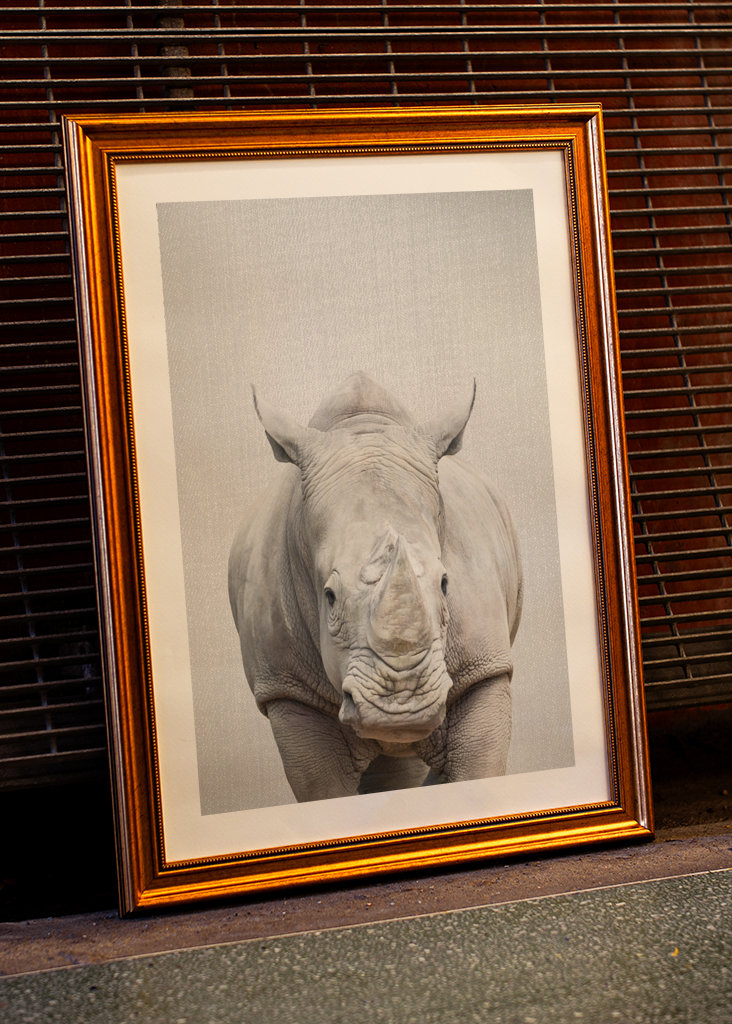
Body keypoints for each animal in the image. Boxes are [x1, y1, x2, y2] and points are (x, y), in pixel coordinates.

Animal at [228, 373, 522, 802]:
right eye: (329, 597)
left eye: (445, 584)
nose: (402, 707)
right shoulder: (287, 687)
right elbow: (323, 789)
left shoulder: (483, 669)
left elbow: (478, 772)